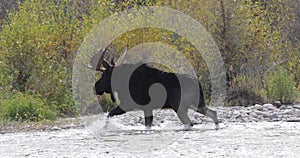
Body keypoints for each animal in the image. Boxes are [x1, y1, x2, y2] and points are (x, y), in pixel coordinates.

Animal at [83, 46, 219, 130]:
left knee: (191, 122)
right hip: (196, 103)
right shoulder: (147, 108)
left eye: (103, 75)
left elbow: (109, 114)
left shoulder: (129, 104)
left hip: (180, 106)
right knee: (213, 113)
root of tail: (199, 84)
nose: (95, 87)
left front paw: (105, 127)